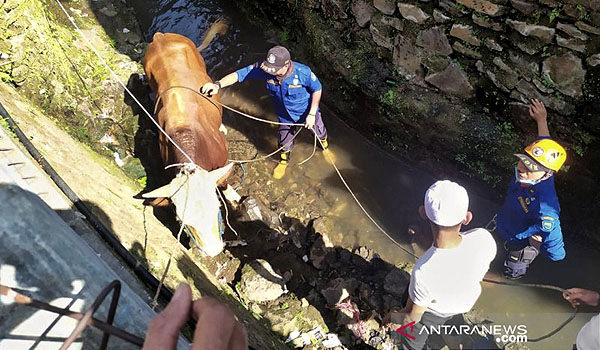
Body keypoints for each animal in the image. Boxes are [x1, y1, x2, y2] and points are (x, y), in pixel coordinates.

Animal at [141, 23, 237, 256]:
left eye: (217, 207)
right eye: (182, 220)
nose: (212, 251)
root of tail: (160, 37)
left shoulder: (223, 160)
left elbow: (224, 182)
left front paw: (232, 196)